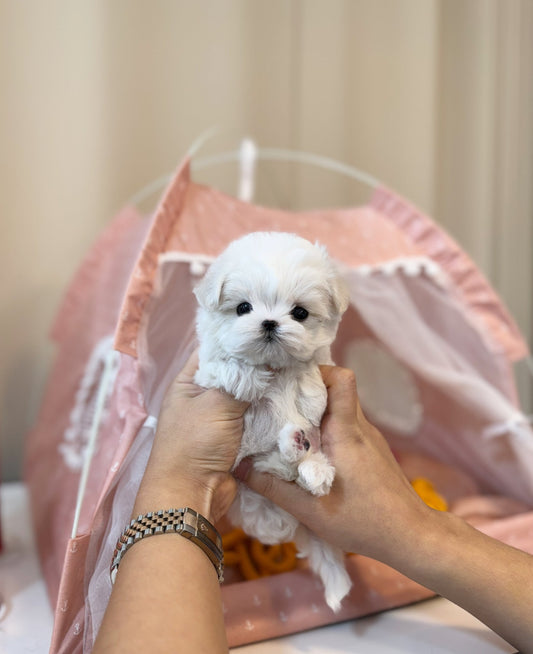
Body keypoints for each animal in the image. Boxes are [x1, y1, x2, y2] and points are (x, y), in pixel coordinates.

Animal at [193, 233, 352, 612]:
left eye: (300, 313)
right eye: (243, 308)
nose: (269, 323)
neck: (274, 366)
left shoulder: (317, 368)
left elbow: (309, 377)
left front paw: (307, 392)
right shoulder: (205, 374)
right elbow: (226, 365)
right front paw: (248, 379)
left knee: (297, 466)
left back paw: (311, 463)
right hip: (255, 482)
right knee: (277, 465)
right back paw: (294, 445)